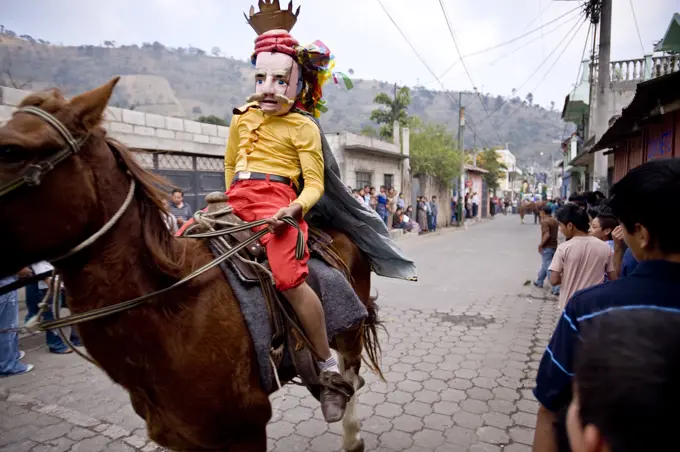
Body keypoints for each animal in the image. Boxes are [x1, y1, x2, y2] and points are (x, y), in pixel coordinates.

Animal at [0, 79, 382, 452]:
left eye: (12, 150)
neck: (173, 306)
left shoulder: (245, 428)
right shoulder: (183, 435)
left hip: (349, 329)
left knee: (349, 370)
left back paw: (347, 424)